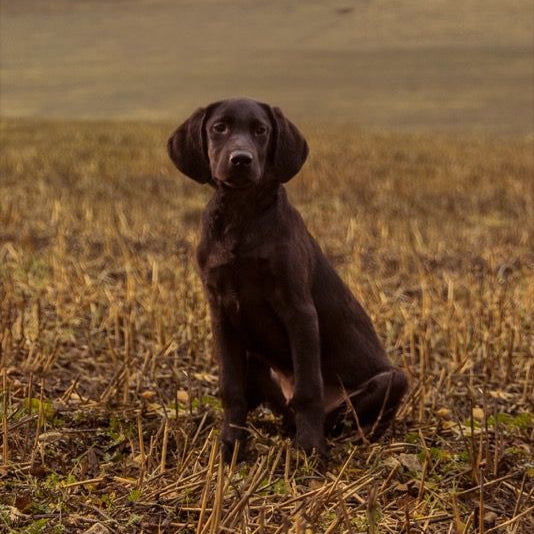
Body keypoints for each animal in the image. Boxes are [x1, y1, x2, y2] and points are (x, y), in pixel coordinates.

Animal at [169, 98, 410, 462]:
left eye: (261, 130)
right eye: (218, 128)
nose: (241, 159)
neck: (241, 216)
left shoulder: (299, 311)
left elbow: (308, 388)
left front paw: (310, 447)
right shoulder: (221, 313)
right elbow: (231, 388)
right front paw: (231, 443)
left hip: (394, 380)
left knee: (349, 417)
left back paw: (344, 436)